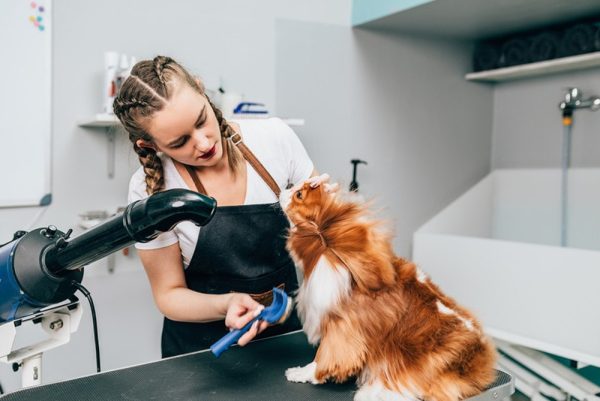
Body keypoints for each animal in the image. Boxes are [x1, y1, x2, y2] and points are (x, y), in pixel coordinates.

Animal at [278, 184, 494, 400]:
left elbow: (323, 357)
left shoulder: (341, 327)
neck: (330, 246)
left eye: (299, 195)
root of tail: (481, 363)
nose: (285, 187)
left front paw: (303, 373)